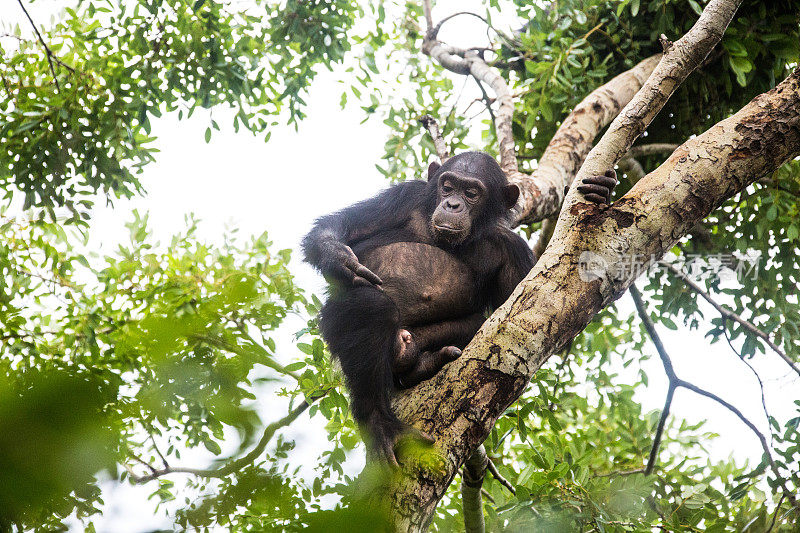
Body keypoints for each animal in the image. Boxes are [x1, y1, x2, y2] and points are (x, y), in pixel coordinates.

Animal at [304, 152, 616, 464]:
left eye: (471, 193)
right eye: (448, 186)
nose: (452, 204)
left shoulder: (513, 251)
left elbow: (547, 315)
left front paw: (601, 191)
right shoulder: (404, 196)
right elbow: (340, 225)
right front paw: (339, 257)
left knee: (474, 323)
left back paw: (418, 365)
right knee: (372, 306)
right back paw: (379, 422)